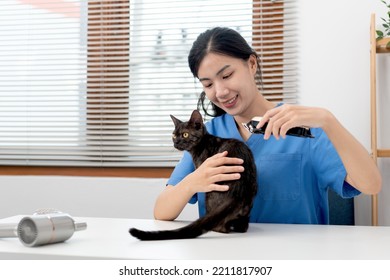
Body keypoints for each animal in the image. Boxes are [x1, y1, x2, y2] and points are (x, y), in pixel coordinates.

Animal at [129, 109, 258, 241]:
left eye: (185, 134)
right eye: (173, 135)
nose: (176, 142)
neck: (199, 147)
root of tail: (238, 193)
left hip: (210, 197)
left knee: (220, 227)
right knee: (242, 226)